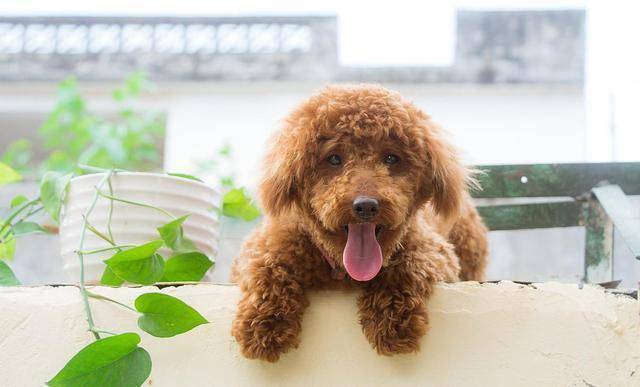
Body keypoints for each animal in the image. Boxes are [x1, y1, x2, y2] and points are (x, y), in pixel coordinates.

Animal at [232, 85, 488, 364]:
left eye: (391, 158)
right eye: (333, 158)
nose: (366, 206)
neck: (342, 270)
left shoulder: (436, 252)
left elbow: (409, 263)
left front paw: (393, 324)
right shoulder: (265, 243)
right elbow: (268, 265)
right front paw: (264, 325)